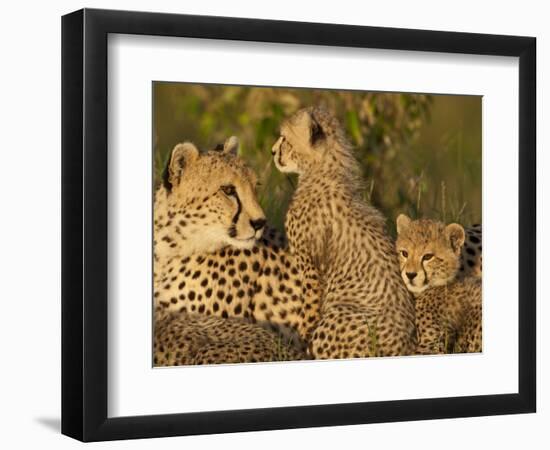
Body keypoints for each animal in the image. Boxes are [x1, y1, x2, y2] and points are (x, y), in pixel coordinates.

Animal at [272, 107, 418, 356]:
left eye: (285, 138)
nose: (273, 151)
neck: (323, 169)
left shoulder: (311, 269)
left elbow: (307, 314)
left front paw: (297, 346)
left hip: (337, 314)